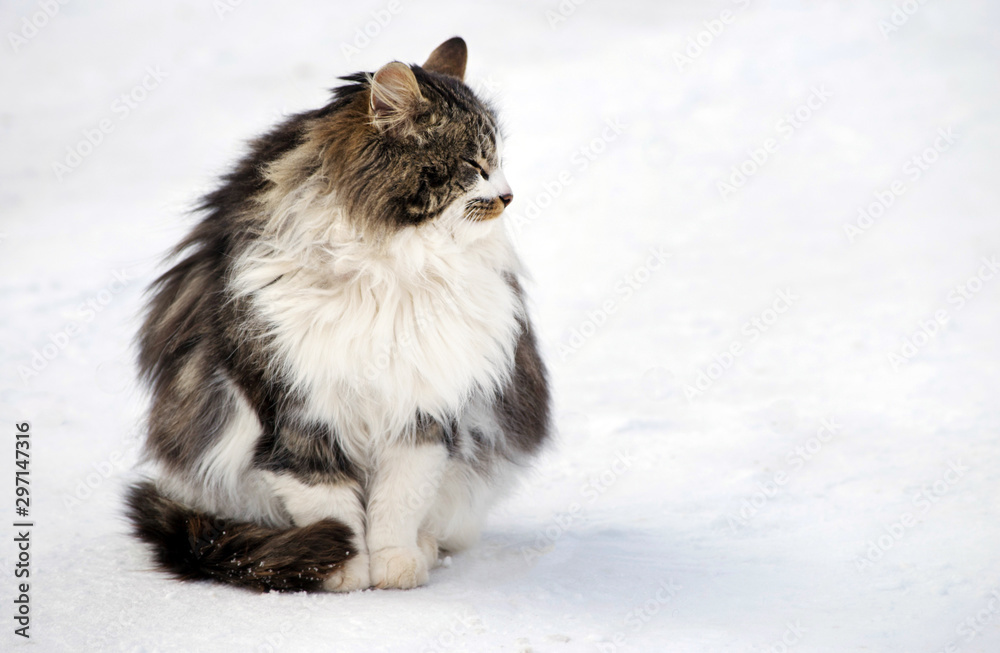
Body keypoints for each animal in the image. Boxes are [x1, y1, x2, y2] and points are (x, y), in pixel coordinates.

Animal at [126, 38, 552, 592]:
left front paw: (394, 567)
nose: (508, 195)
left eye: (498, 162)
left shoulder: (421, 410)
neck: (391, 264)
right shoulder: (298, 415)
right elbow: (331, 507)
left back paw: (425, 549)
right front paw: (344, 572)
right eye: (476, 164)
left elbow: (398, 502)